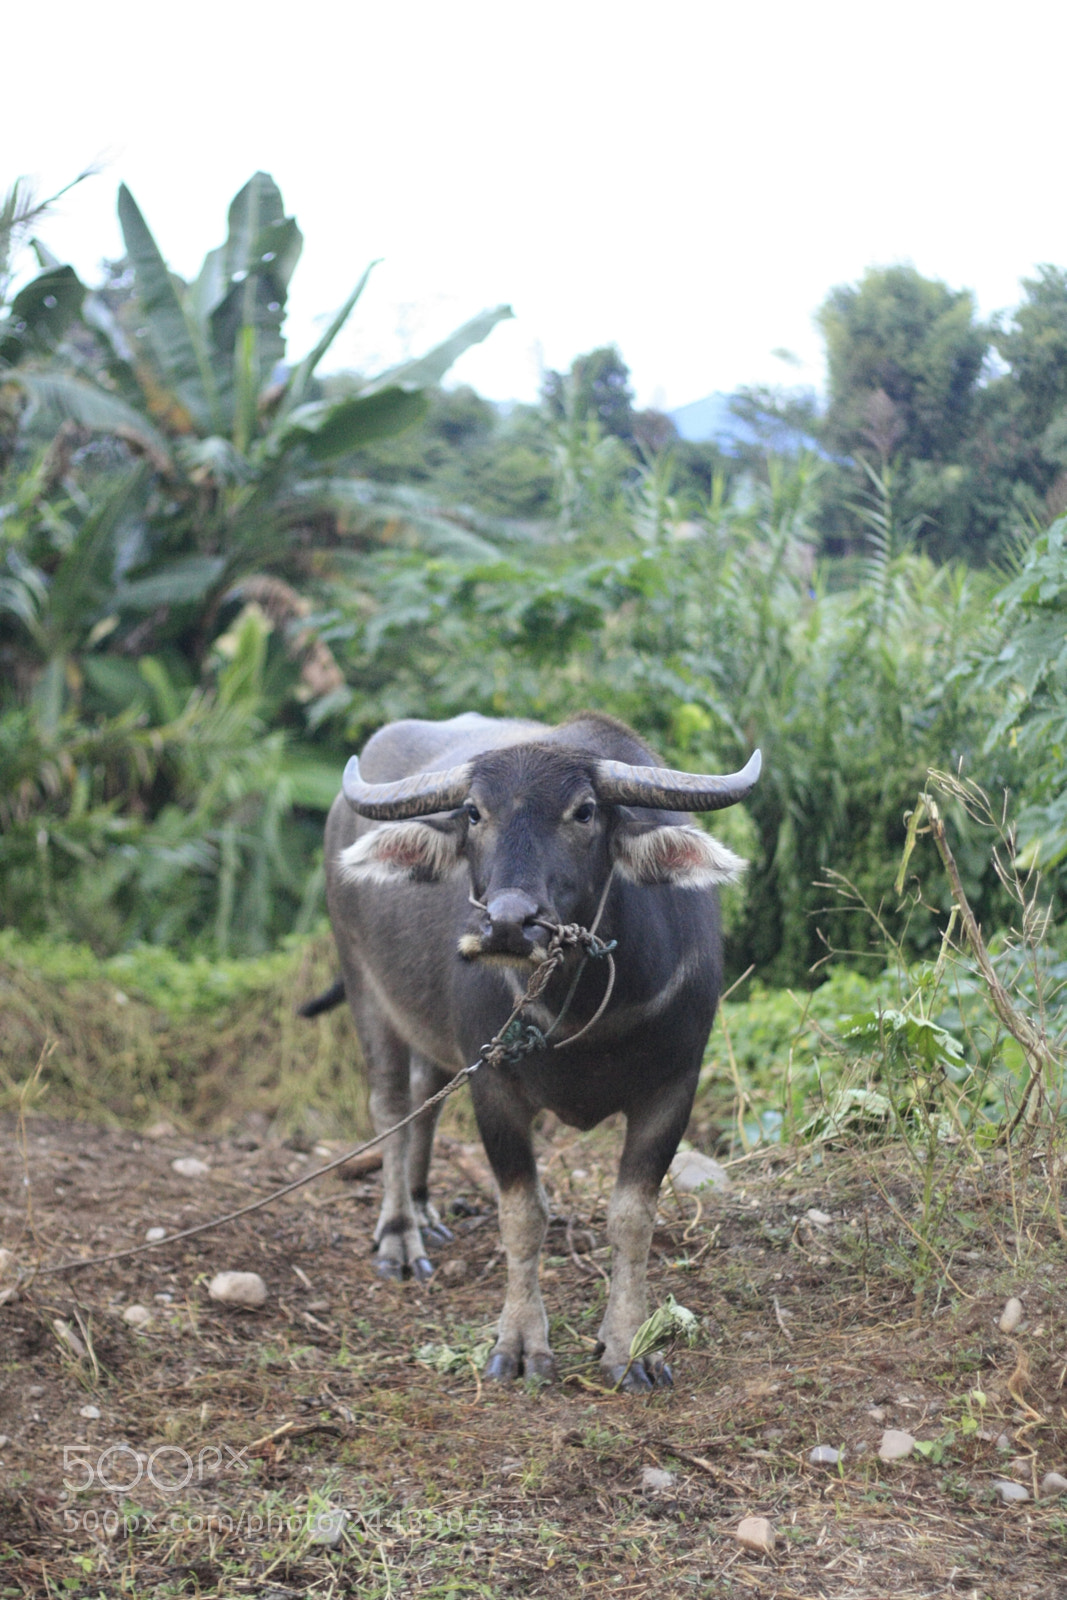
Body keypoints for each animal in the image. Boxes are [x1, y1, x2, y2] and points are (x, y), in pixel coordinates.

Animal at [315, 711, 759, 1389]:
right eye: (474, 812)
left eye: (584, 811)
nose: (506, 923)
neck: (586, 1005)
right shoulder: (494, 1087)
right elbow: (523, 1216)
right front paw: (521, 1342)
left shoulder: (674, 1087)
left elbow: (632, 1218)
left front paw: (629, 1344)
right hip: (365, 988)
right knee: (390, 1106)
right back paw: (398, 1235)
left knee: (425, 1095)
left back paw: (423, 1211)